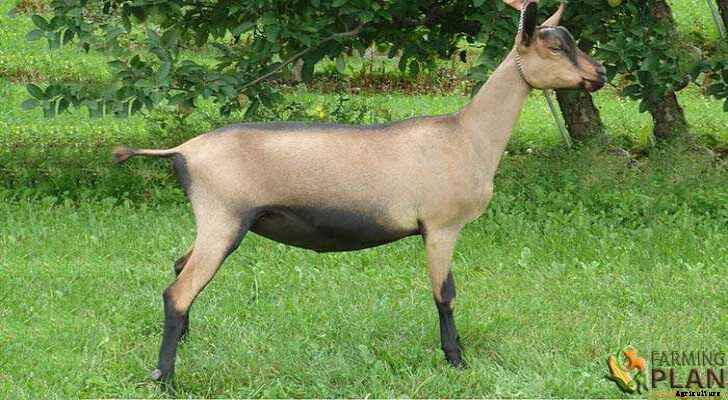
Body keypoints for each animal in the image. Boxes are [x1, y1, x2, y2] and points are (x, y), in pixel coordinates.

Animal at [112, 1, 606, 390]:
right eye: (555, 47)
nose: (599, 74)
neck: (467, 136)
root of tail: (183, 150)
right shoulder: (441, 225)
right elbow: (444, 293)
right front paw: (456, 360)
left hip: (218, 221)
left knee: (179, 267)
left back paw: (186, 343)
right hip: (224, 219)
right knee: (178, 291)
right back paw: (166, 380)